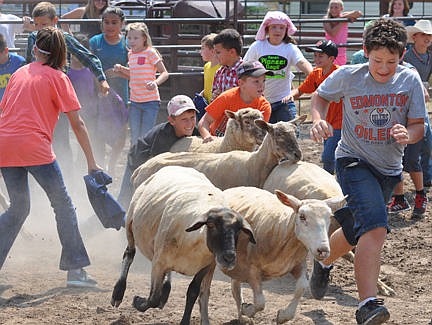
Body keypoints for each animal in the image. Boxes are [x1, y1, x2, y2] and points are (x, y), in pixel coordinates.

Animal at [109, 167, 256, 324]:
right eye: (210, 224)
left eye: (239, 230)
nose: (229, 257)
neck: (196, 244)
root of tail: (176, 167)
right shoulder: (158, 263)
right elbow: (153, 298)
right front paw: (137, 301)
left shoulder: (205, 266)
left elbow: (192, 292)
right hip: (130, 222)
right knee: (129, 254)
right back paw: (118, 293)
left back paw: (165, 292)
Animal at [221, 186, 346, 322]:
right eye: (302, 217)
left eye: (330, 217)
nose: (323, 250)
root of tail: (233, 188)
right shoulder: (252, 269)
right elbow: (260, 302)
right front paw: (247, 310)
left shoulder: (298, 264)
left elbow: (302, 286)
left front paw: (283, 316)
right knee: (235, 289)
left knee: (235, 287)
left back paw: (242, 317)